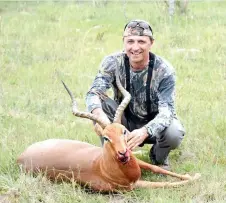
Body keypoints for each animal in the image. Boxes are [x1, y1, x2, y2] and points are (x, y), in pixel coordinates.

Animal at [17, 68, 200, 192]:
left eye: (123, 131)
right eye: (106, 138)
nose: (123, 153)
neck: (102, 165)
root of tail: (21, 158)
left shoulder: (137, 161)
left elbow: (157, 168)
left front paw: (191, 174)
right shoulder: (134, 185)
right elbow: (165, 183)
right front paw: (195, 177)